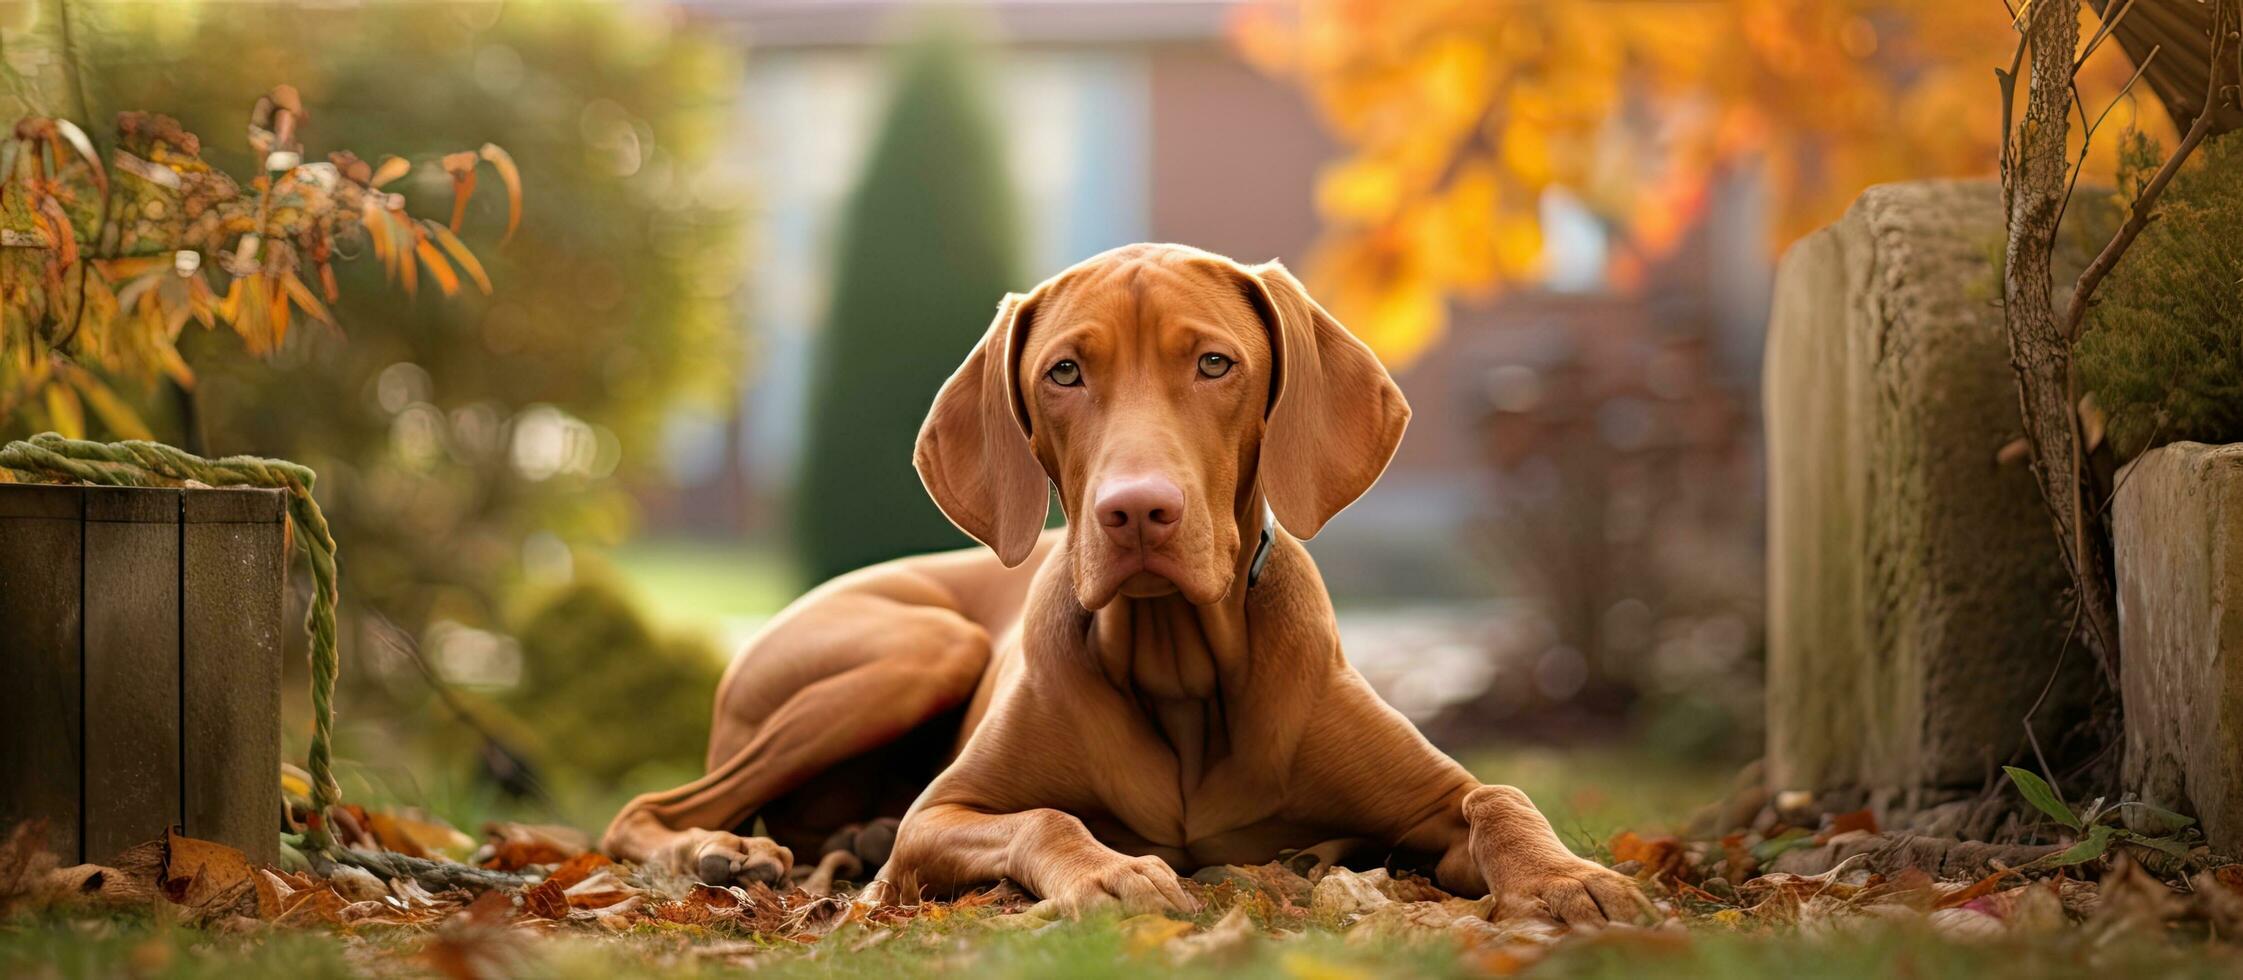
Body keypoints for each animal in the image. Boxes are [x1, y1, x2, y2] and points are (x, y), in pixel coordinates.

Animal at [605, 241, 1659, 919]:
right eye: (1064, 373)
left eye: (1215, 364)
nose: (1136, 512)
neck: (1179, 668)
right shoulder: (940, 818)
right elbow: (1044, 815)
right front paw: (1109, 872)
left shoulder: (1429, 801)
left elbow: (1498, 796)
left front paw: (1564, 879)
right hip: (920, 644)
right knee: (649, 812)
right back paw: (729, 850)